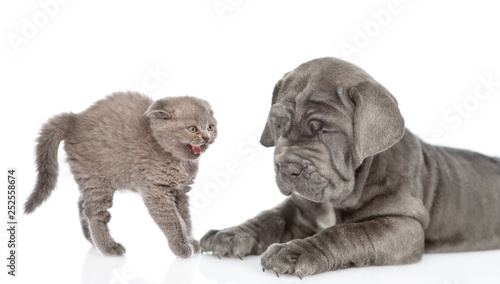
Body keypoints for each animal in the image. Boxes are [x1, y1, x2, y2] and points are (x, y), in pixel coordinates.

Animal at [23, 91, 217, 258]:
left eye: (210, 127)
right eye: (192, 129)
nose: (207, 137)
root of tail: (74, 119)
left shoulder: (181, 192)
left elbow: (186, 219)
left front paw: (191, 241)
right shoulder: (157, 192)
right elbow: (173, 221)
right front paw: (181, 247)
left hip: (90, 178)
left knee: (82, 205)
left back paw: (92, 241)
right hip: (98, 179)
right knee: (93, 212)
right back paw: (109, 247)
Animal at [199, 57, 500, 278]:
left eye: (324, 131)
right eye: (278, 123)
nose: (288, 168)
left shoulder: (403, 225)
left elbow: (348, 232)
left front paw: (296, 252)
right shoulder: (300, 208)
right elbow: (270, 216)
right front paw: (233, 233)